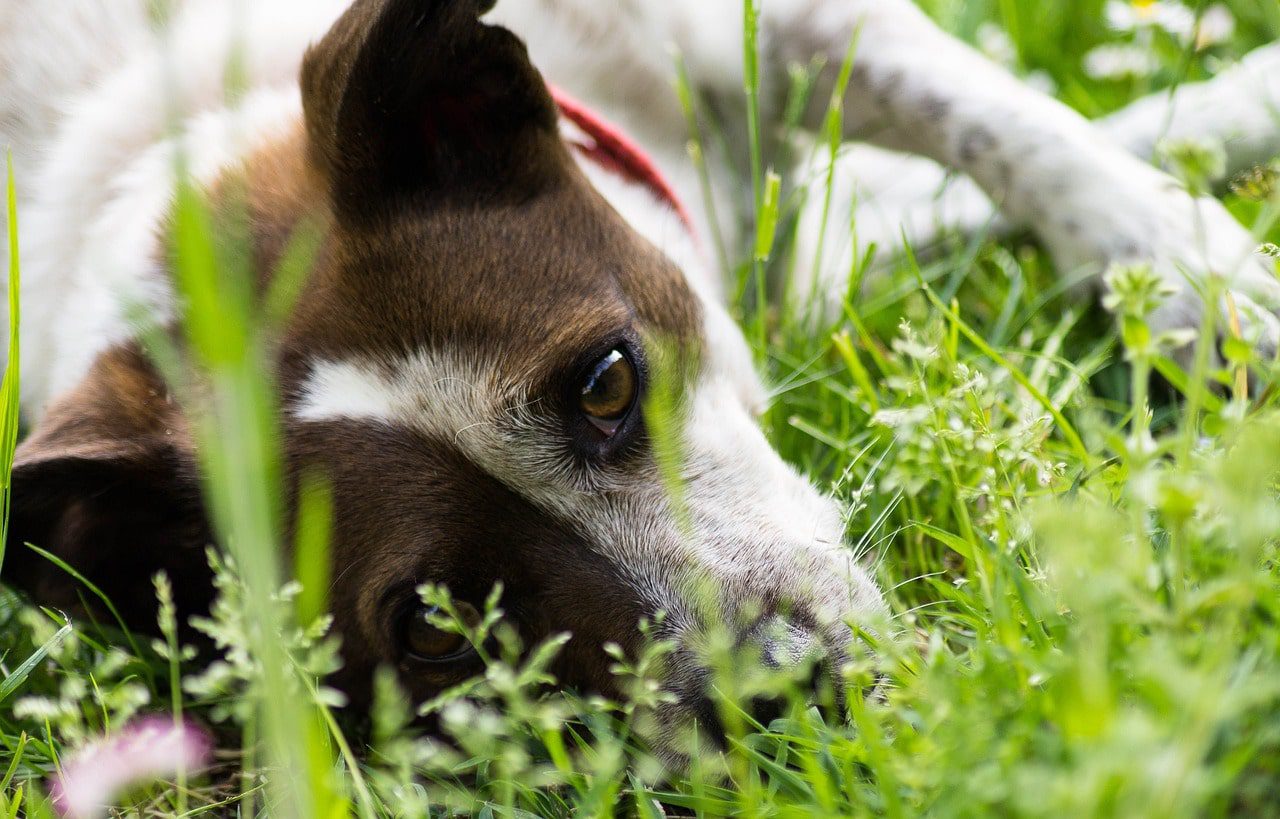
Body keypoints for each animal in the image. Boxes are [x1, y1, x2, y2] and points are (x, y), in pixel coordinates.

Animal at [0, 0, 1274, 742]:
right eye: (435, 630)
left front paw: (1200, 276)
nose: (788, 697)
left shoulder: (780, 27)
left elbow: (1016, 131)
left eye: (606, 383)